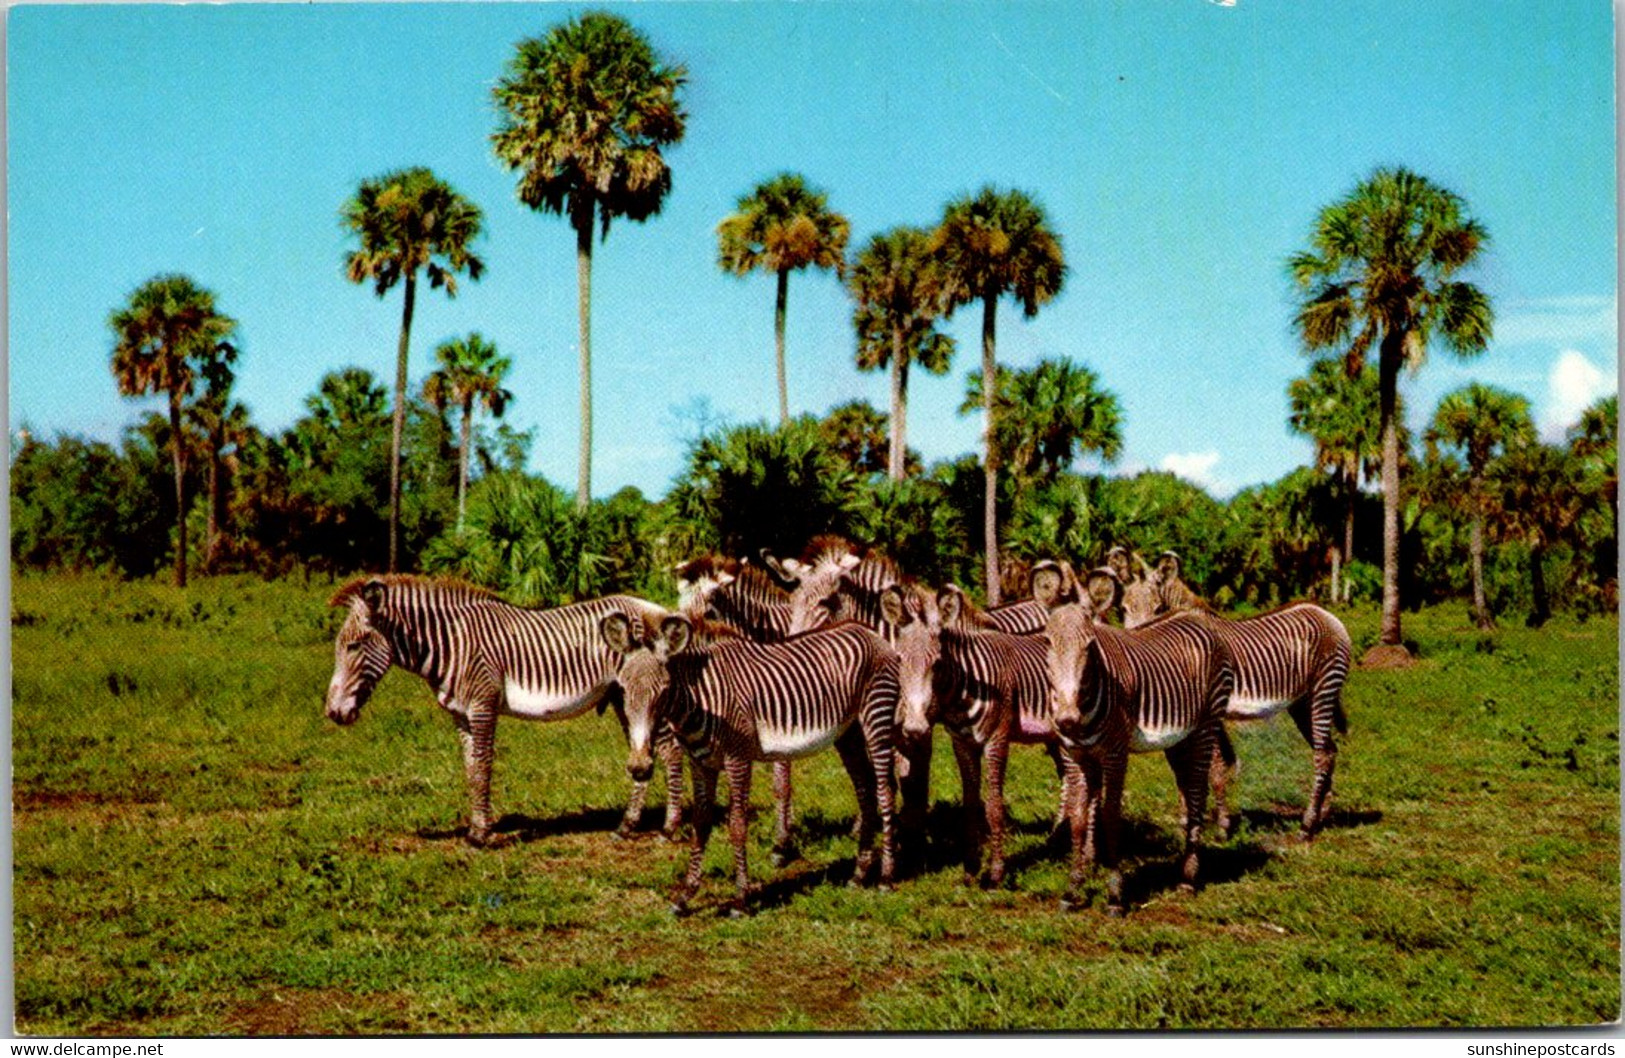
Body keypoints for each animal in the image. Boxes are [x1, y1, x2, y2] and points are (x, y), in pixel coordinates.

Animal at [323, 575, 685, 851]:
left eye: (354, 646)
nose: (332, 713)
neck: (453, 644)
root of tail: (655, 608)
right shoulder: (461, 714)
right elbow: (470, 770)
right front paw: (474, 829)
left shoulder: (483, 707)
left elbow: (483, 768)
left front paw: (482, 836)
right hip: (623, 698)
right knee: (645, 753)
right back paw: (627, 826)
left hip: (644, 694)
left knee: (671, 751)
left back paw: (669, 828)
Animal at [601, 611, 903, 916]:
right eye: (623, 690)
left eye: (663, 691)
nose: (639, 767)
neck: (701, 699)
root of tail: (868, 630)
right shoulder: (701, 764)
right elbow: (700, 825)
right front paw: (685, 896)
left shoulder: (738, 759)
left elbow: (737, 826)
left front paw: (740, 900)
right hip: (848, 732)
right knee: (865, 791)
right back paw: (859, 875)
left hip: (876, 715)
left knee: (885, 791)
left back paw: (886, 878)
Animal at [877, 585, 1079, 890]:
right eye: (899, 659)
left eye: (937, 664)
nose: (912, 728)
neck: (963, 690)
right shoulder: (962, 743)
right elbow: (971, 803)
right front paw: (971, 869)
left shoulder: (997, 740)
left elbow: (994, 805)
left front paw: (996, 873)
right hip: (1055, 736)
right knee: (1070, 777)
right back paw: (1059, 838)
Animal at [1040, 559, 1228, 916]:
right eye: (1048, 644)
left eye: (1090, 646)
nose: (1067, 720)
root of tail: (1193, 617)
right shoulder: (1075, 755)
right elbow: (1078, 818)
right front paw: (1072, 890)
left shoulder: (1115, 753)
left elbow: (1111, 816)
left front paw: (1115, 896)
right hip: (1178, 740)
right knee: (1188, 788)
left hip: (1205, 727)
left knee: (1198, 791)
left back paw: (1188, 878)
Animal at [1111, 555, 1352, 838]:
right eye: (1123, 609)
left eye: (1159, 608)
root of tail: (1326, 613)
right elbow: (1180, 768)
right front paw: (1186, 821)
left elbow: (1214, 766)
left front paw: (1221, 826)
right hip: (1303, 702)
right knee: (1328, 749)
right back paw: (1322, 815)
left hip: (1324, 689)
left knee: (1322, 754)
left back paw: (1307, 825)